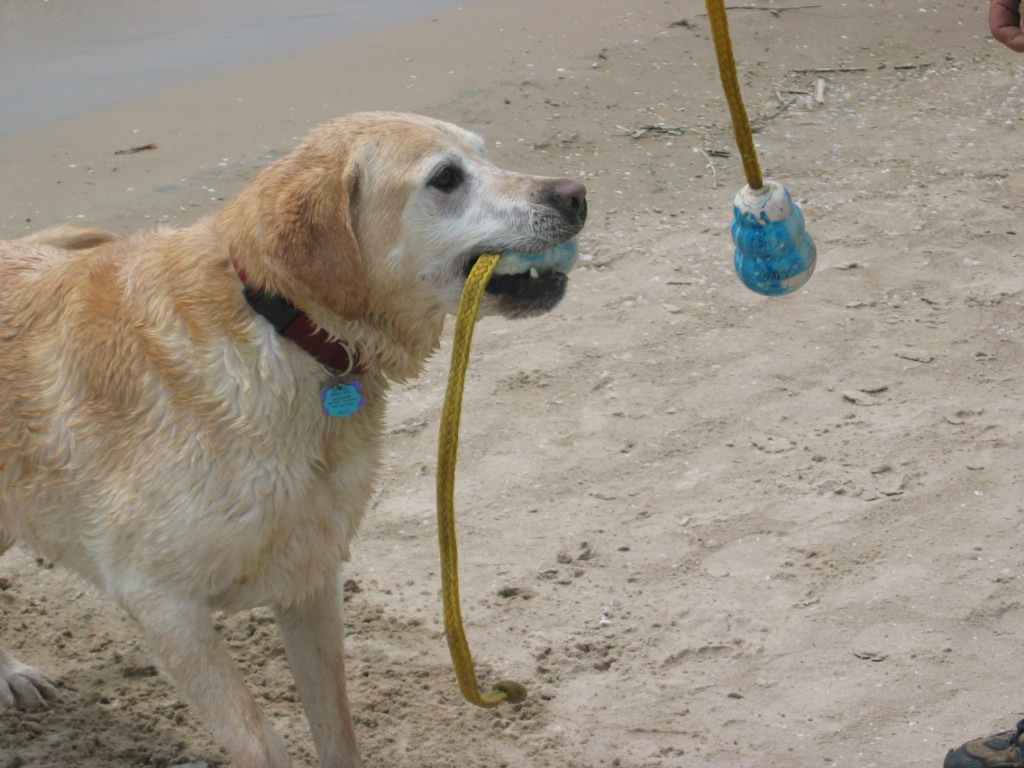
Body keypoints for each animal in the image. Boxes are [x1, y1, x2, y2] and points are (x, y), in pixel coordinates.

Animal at [0, 111, 589, 765]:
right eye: (445, 178)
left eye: (485, 154)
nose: (576, 194)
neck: (281, 325)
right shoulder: (161, 603)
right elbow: (259, 742)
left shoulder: (311, 576)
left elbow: (335, 724)